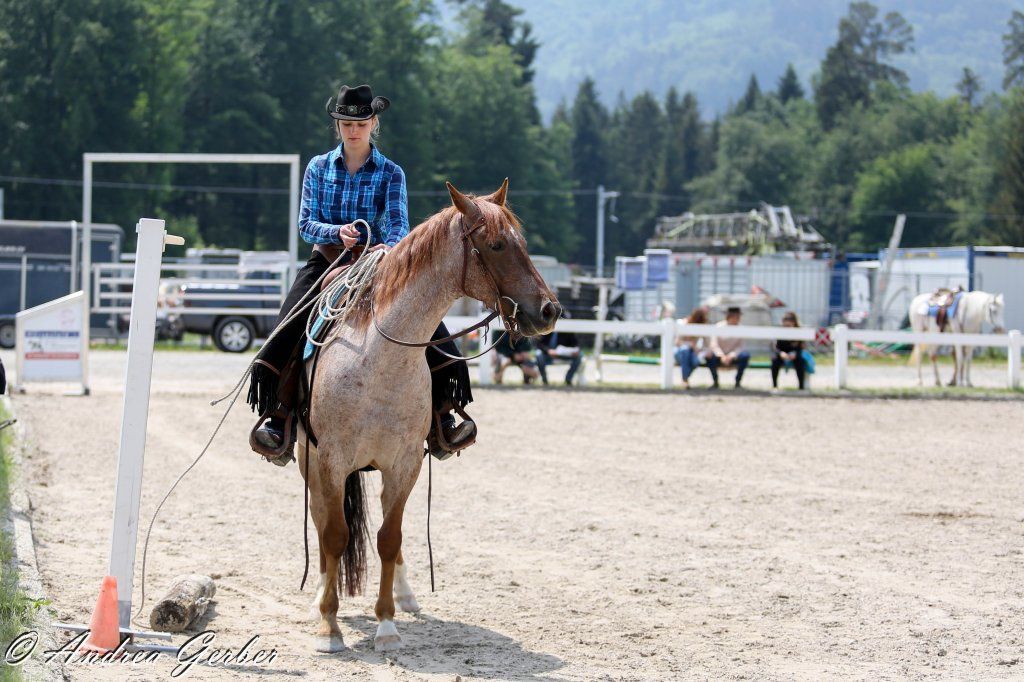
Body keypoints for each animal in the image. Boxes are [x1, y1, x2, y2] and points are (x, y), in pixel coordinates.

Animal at [297, 179, 559, 653]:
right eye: (496, 244)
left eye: (523, 244)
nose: (549, 311)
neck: (377, 359)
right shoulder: (330, 461)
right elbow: (335, 534)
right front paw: (329, 626)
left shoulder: (405, 464)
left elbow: (389, 538)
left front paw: (386, 624)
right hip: (308, 463)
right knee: (322, 520)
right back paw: (319, 597)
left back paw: (405, 596)